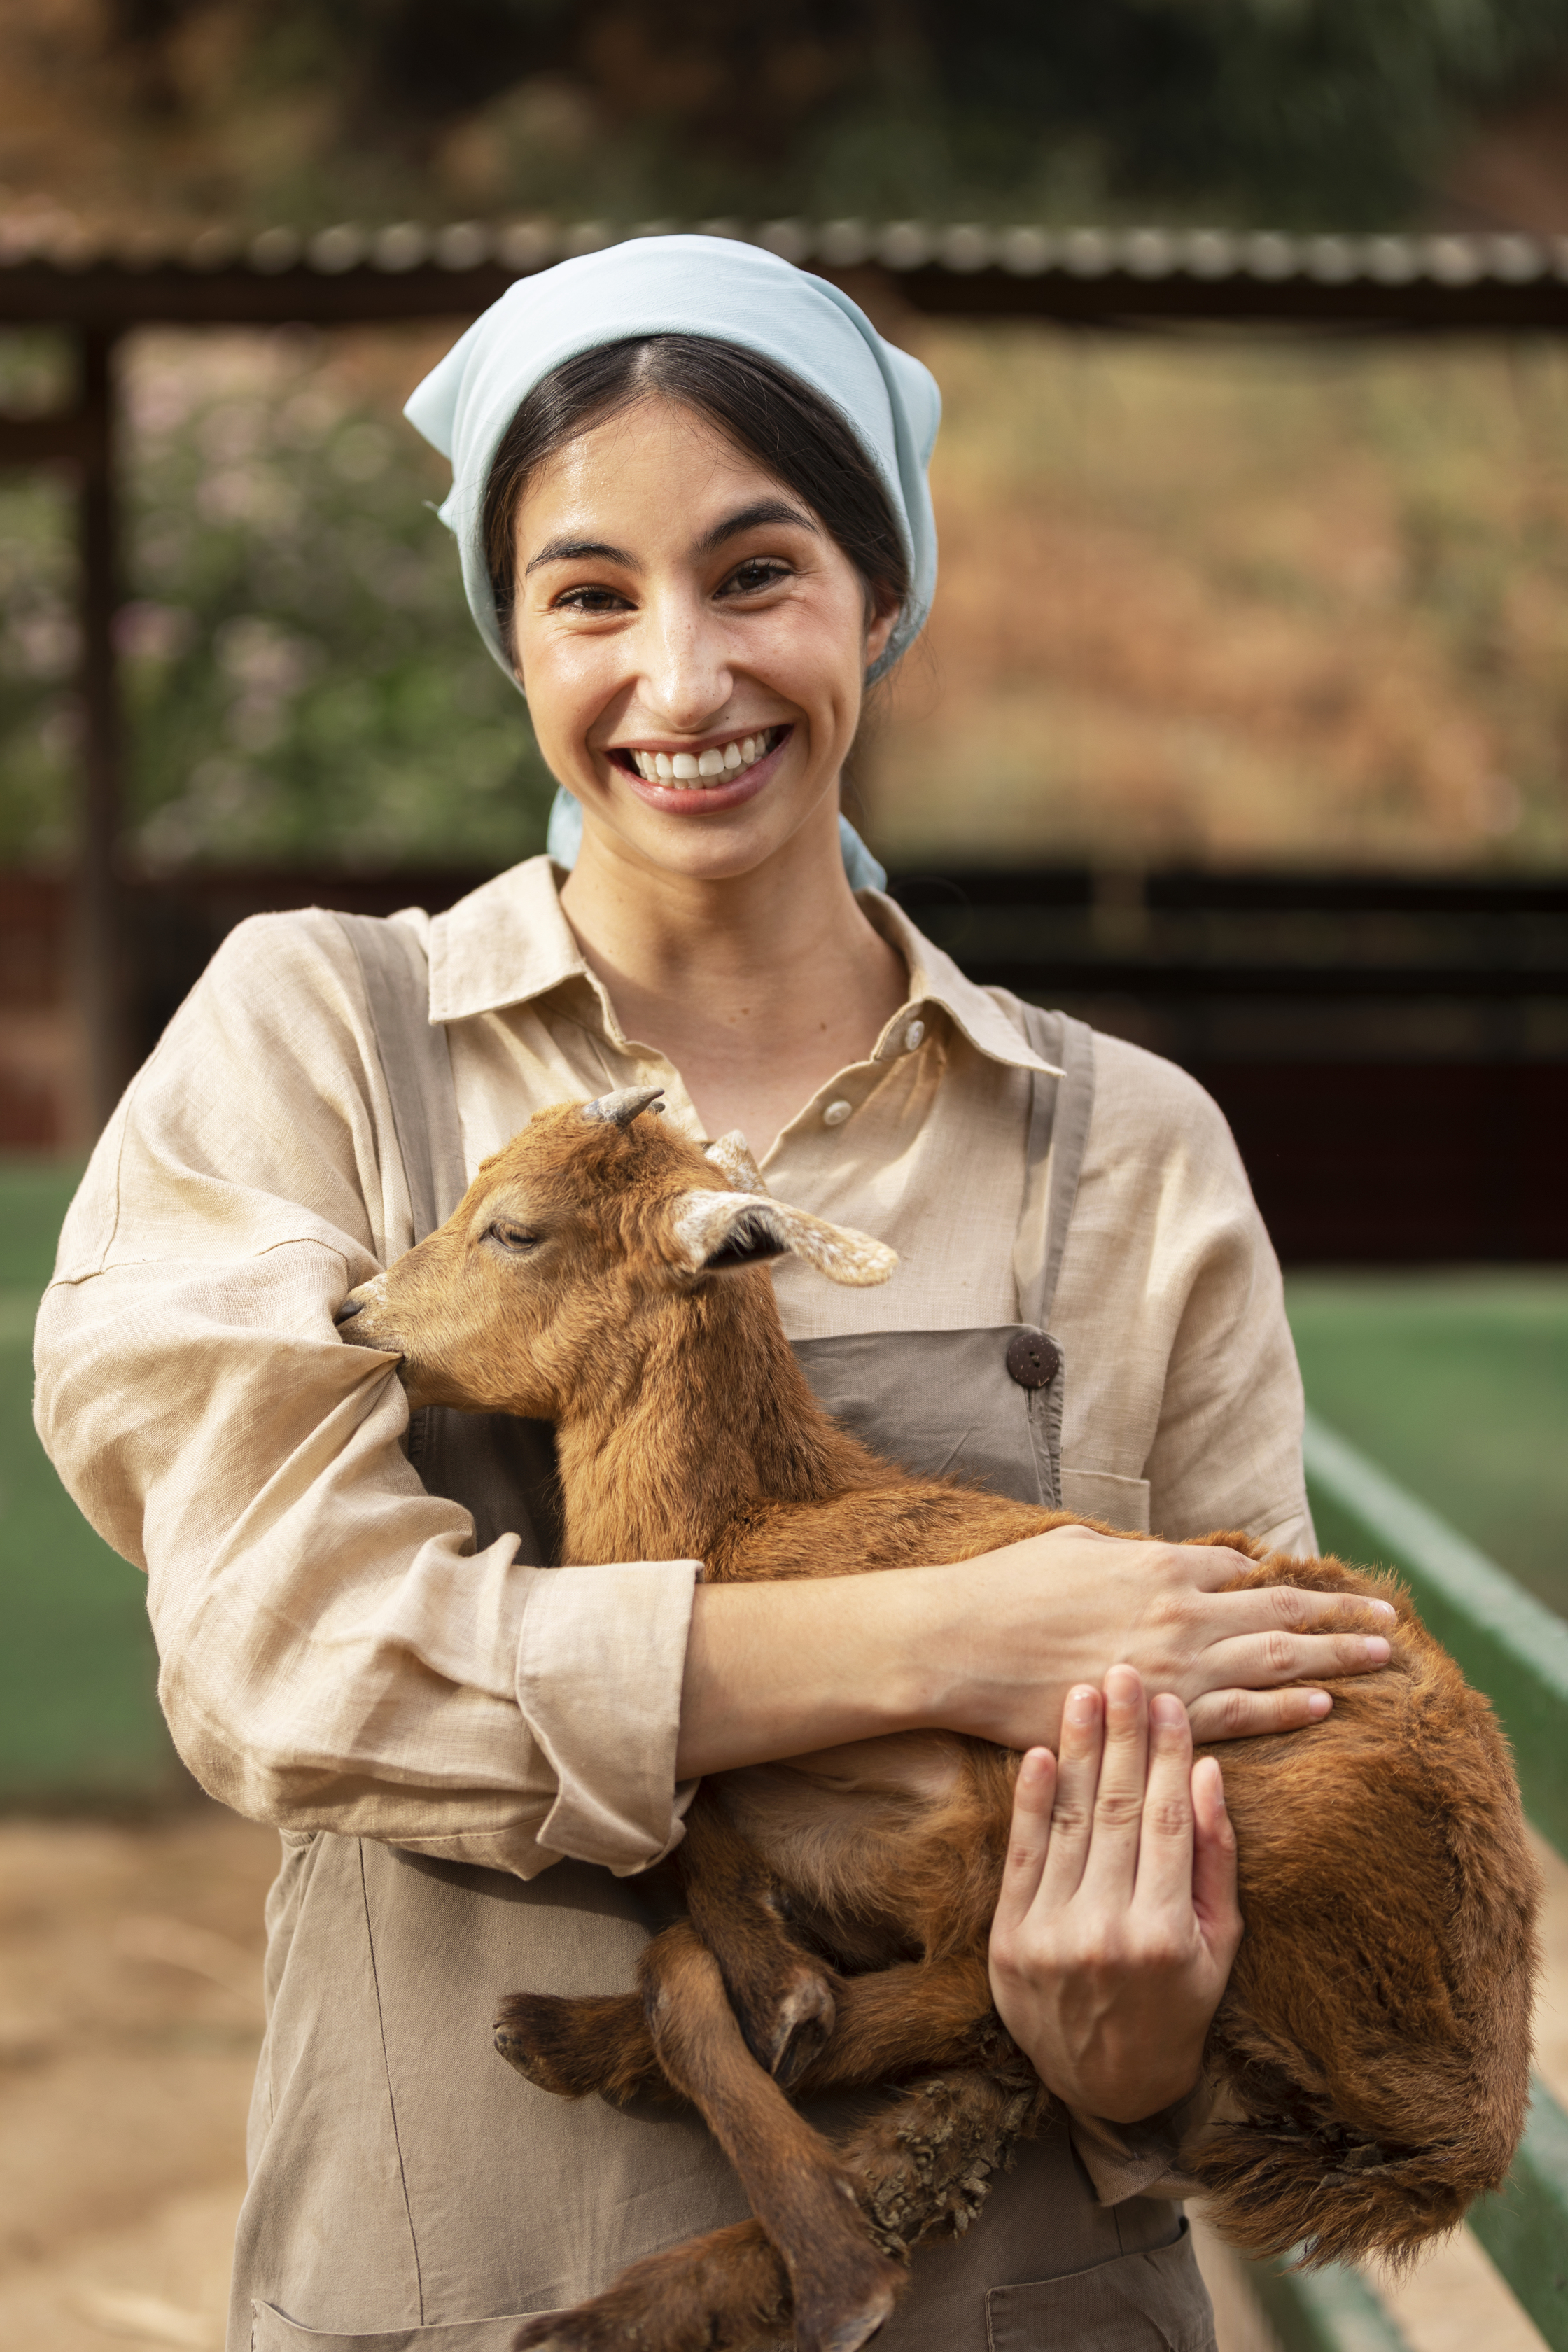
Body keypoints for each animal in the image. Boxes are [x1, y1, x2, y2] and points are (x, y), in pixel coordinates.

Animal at [337, 1087, 1540, 2352]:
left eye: (515, 1229)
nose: (355, 1312)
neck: (744, 1532)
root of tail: (1468, 2126)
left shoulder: (963, 1810)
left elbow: (718, 1921)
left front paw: (787, 2016)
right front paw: (770, 1997)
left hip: (1263, 1833)